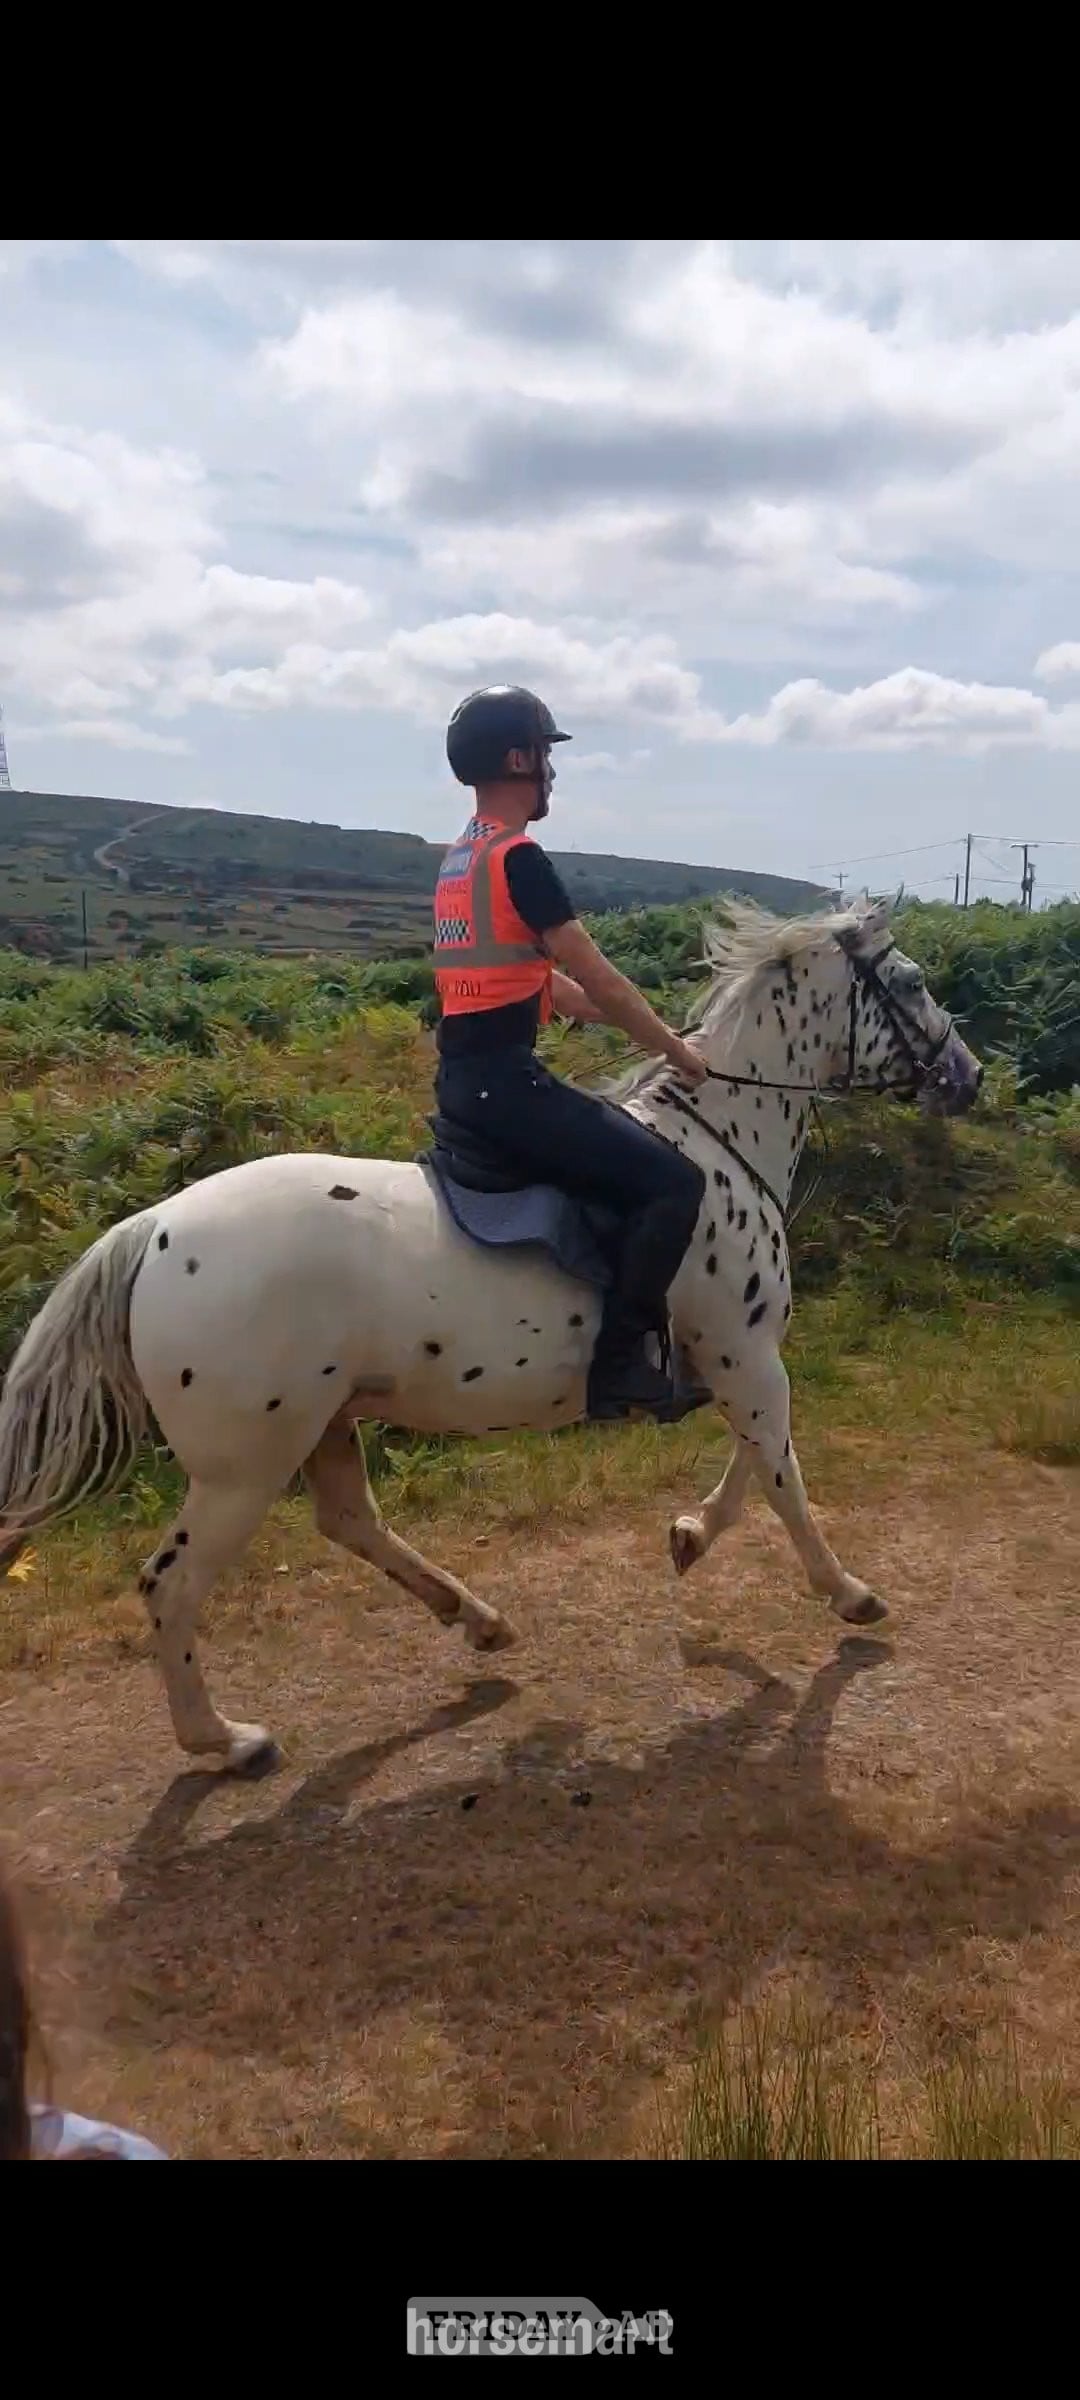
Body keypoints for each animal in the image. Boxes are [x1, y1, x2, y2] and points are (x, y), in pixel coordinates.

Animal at [0, 899, 982, 1773]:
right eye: (911, 982)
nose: (967, 1076)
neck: (722, 1143)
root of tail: (152, 1229)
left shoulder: (732, 1362)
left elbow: (755, 1467)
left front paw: (691, 1535)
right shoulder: (745, 1356)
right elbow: (784, 1477)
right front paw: (849, 1594)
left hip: (324, 1422)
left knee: (349, 1521)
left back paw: (477, 1620)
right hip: (244, 1466)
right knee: (173, 1585)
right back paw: (226, 1740)